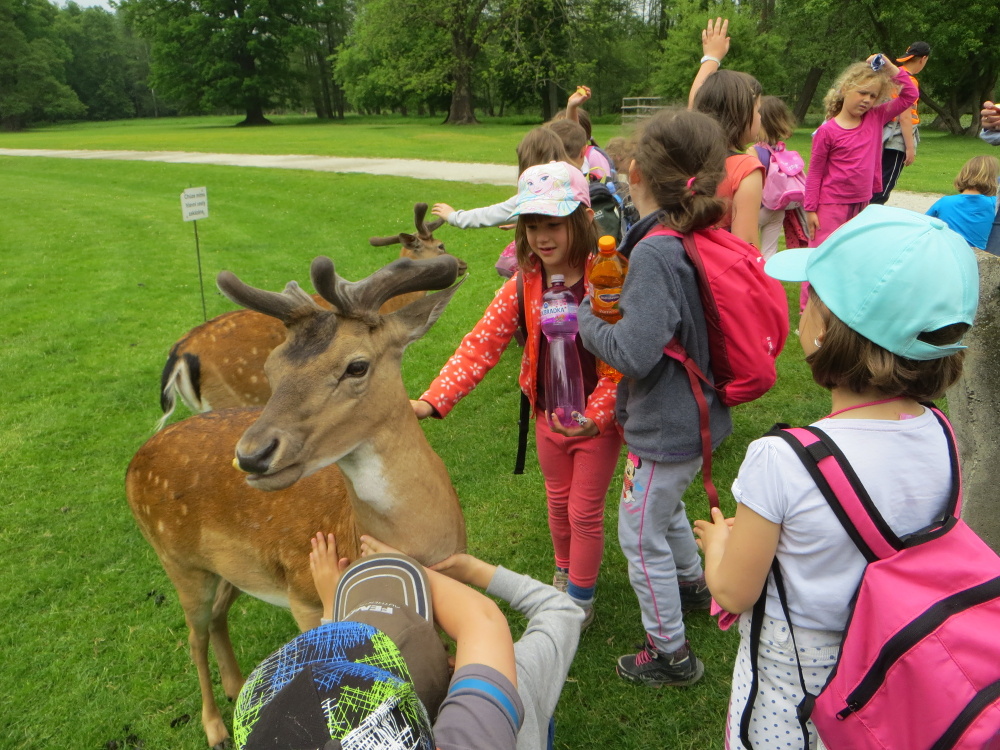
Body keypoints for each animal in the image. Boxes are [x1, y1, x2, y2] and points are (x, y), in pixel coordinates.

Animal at [127, 256, 466, 748]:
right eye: (271, 369)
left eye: (357, 366)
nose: (252, 455)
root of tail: (134, 464)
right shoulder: (304, 595)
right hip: (178, 561)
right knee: (193, 635)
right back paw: (215, 727)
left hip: (233, 566)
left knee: (218, 616)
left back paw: (235, 687)